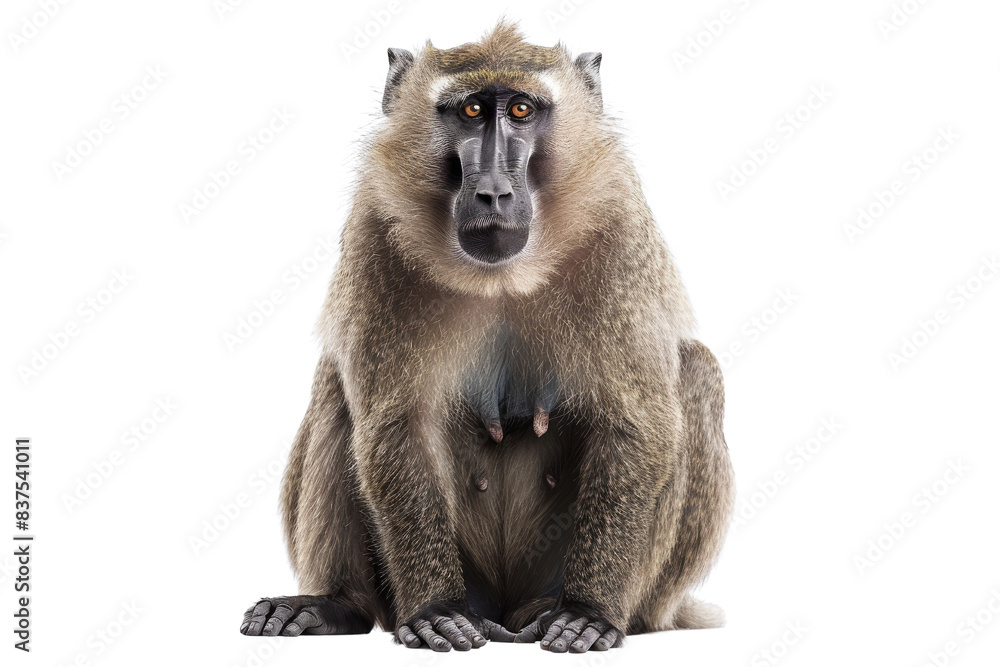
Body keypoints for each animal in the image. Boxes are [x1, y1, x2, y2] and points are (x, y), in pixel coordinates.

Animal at [239, 21, 735, 653]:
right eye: (472, 110)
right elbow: (398, 423)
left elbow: (637, 423)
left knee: (696, 373)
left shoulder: (620, 224)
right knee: (335, 385)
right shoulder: (377, 222)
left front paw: (589, 611)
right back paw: (337, 605)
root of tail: (505, 610)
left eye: (521, 110)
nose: (494, 192)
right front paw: (435, 609)